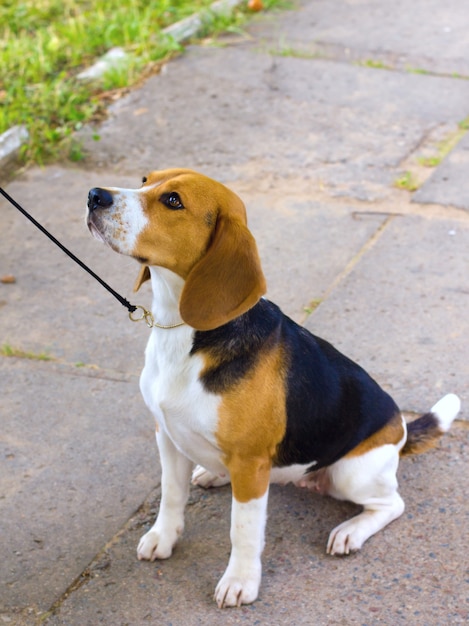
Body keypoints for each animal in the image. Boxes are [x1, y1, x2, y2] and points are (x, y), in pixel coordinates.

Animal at [86, 169, 458, 604]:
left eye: (173, 201)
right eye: (145, 179)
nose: (94, 195)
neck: (184, 331)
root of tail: (400, 430)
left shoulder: (249, 463)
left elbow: (243, 530)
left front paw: (240, 581)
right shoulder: (168, 435)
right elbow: (171, 493)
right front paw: (163, 537)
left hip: (352, 474)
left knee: (392, 504)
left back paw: (350, 531)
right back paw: (213, 473)